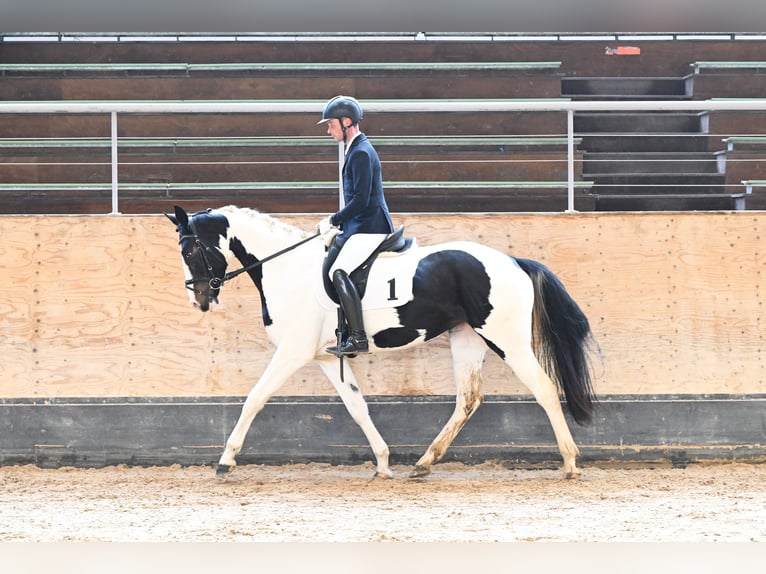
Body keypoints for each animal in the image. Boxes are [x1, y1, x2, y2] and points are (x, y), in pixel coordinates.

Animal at [166, 205, 600, 480]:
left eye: (190, 249)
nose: (199, 300)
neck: (287, 268)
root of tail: (513, 261)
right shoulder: (327, 357)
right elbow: (358, 408)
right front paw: (383, 463)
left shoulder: (293, 351)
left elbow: (254, 398)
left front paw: (225, 461)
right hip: (467, 338)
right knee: (468, 398)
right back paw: (424, 463)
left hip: (506, 338)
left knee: (544, 388)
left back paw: (569, 463)